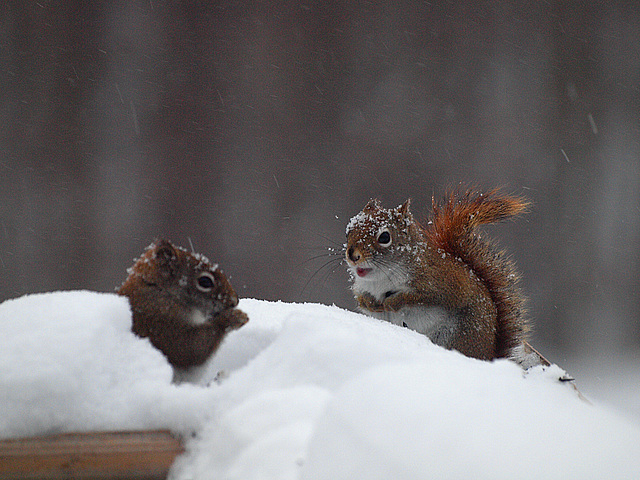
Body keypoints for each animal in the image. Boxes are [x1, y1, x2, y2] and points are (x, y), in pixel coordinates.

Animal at [344, 188, 544, 368]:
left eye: (385, 237)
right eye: (349, 231)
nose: (352, 254)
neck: (380, 279)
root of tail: (490, 355)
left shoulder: (440, 283)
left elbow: (418, 297)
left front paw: (393, 301)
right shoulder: (361, 287)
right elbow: (362, 299)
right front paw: (370, 302)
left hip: (459, 335)